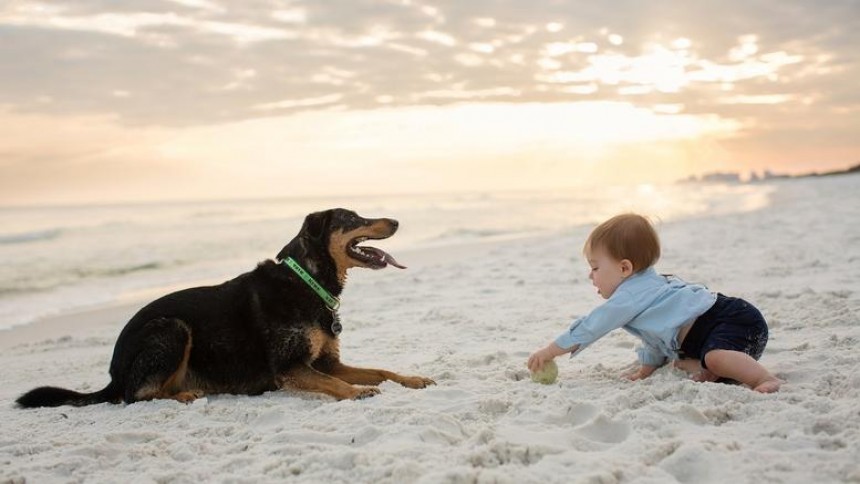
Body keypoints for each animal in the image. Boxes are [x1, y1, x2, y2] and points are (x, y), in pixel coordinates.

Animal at [18, 209, 436, 408]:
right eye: (353, 219)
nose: (396, 220)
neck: (307, 280)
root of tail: (113, 372)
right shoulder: (290, 368)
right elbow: (340, 384)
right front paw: (357, 393)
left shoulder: (327, 362)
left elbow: (381, 370)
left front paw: (413, 379)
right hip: (171, 328)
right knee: (135, 394)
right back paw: (182, 396)